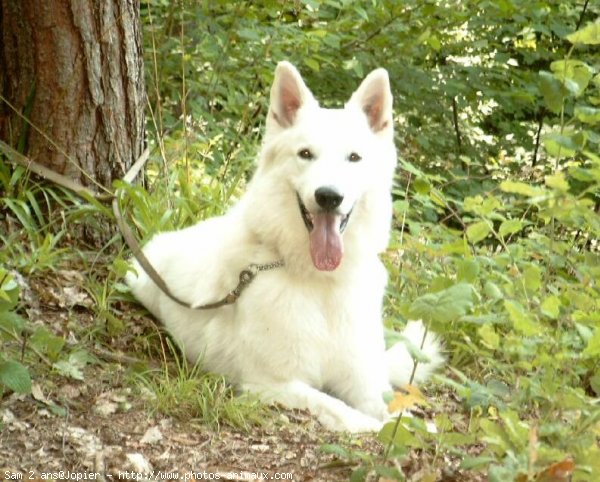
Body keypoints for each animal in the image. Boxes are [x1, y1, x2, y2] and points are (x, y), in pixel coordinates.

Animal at [126, 61, 442, 434]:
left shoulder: (364, 382)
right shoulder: (273, 383)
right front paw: (377, 428)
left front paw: (413, 427)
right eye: (305, 154)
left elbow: (392, 409)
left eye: (354, 157)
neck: (321, 283)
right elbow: (342, 409)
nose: (328, 197)